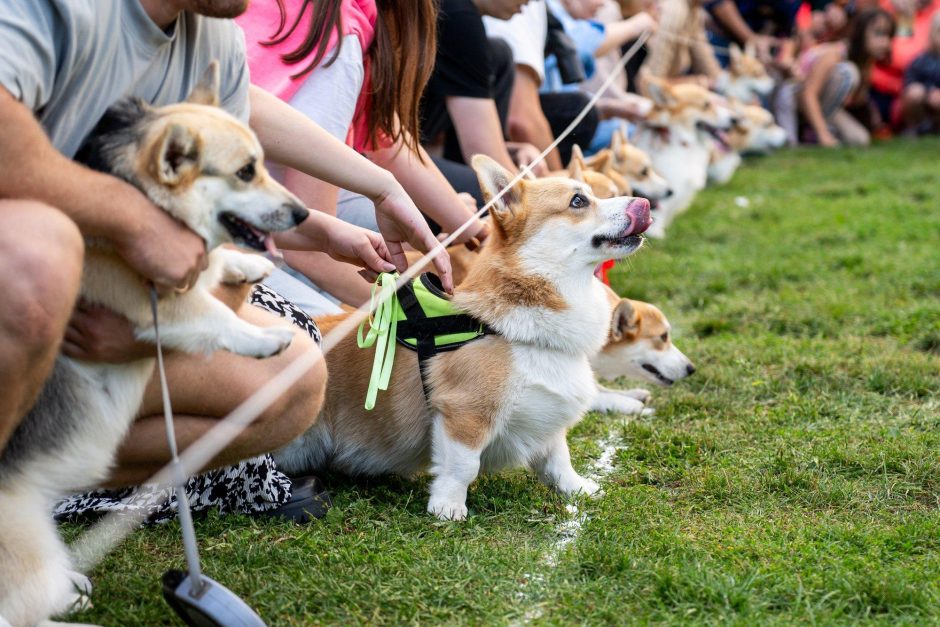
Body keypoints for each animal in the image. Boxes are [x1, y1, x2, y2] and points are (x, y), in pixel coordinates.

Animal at [0, 65, 304, 627]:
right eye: (246, 172)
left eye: (263, 165)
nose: (304, 215)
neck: (147, 197)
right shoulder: (154, 298)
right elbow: (214, 314)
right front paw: (264, 338)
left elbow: (217, 263)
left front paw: (247, 265)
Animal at [276, 156, 648, 520]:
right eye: (578, 201)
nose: (644, 204)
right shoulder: (465, 413)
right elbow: (463, 466)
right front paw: (448, 507)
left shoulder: (548, 417)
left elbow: (558, 459)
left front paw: (579, 488)